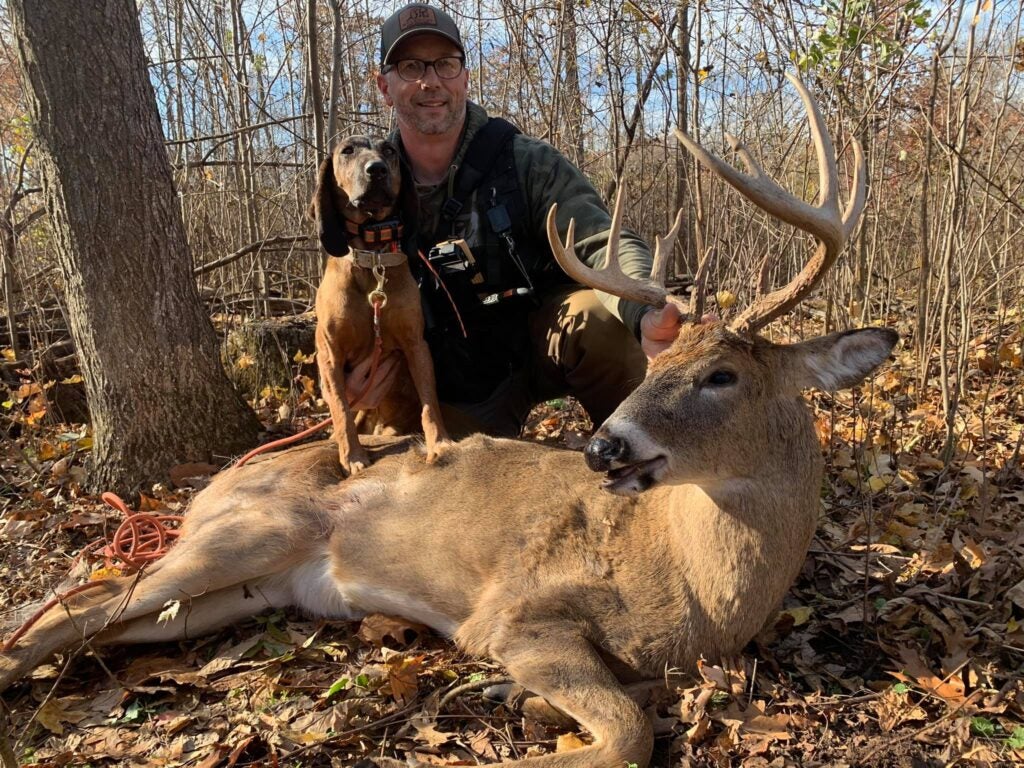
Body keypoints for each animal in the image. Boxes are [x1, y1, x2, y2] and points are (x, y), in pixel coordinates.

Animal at [0, 73, 897, 768]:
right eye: (659, 369)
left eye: (721, 376)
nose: (602, 446)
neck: (695, 597)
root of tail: (210, 485)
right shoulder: (512, 612)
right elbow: (626, 732)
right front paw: (514, 714)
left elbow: (631, 708)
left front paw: (523, 703)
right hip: (250, 531)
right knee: (71, 605)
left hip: (244, 590)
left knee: (100, 621)